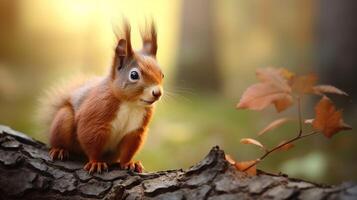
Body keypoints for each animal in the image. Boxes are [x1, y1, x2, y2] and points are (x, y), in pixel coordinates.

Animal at [40, 21, 163, 173]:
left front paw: (129, 163)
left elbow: (129, 149)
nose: (157, 93)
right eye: (134, 75)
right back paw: (59, 149)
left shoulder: (135, 131)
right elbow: (90, 138)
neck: (130, 104)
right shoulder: (96, 115)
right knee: (59, 136)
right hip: (63, 119)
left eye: (162, 74)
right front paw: (96, 162)